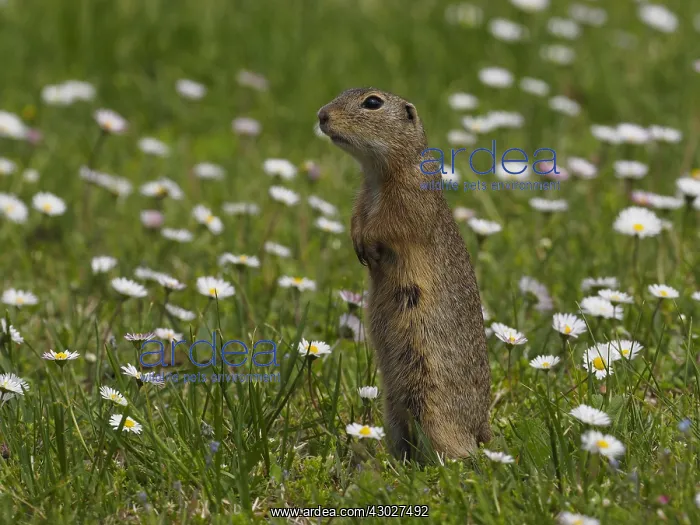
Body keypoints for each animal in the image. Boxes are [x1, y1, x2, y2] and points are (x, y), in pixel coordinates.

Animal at [317, 88, 492, 461]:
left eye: (372, 103)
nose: (322, 115)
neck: (377, 174)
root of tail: (481, 427)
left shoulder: (408, 201)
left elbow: (390, 226)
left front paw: (367, 244)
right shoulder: (361, 198)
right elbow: (357, 218)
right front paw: (357, 243)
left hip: (433, 404)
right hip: (392, 408)